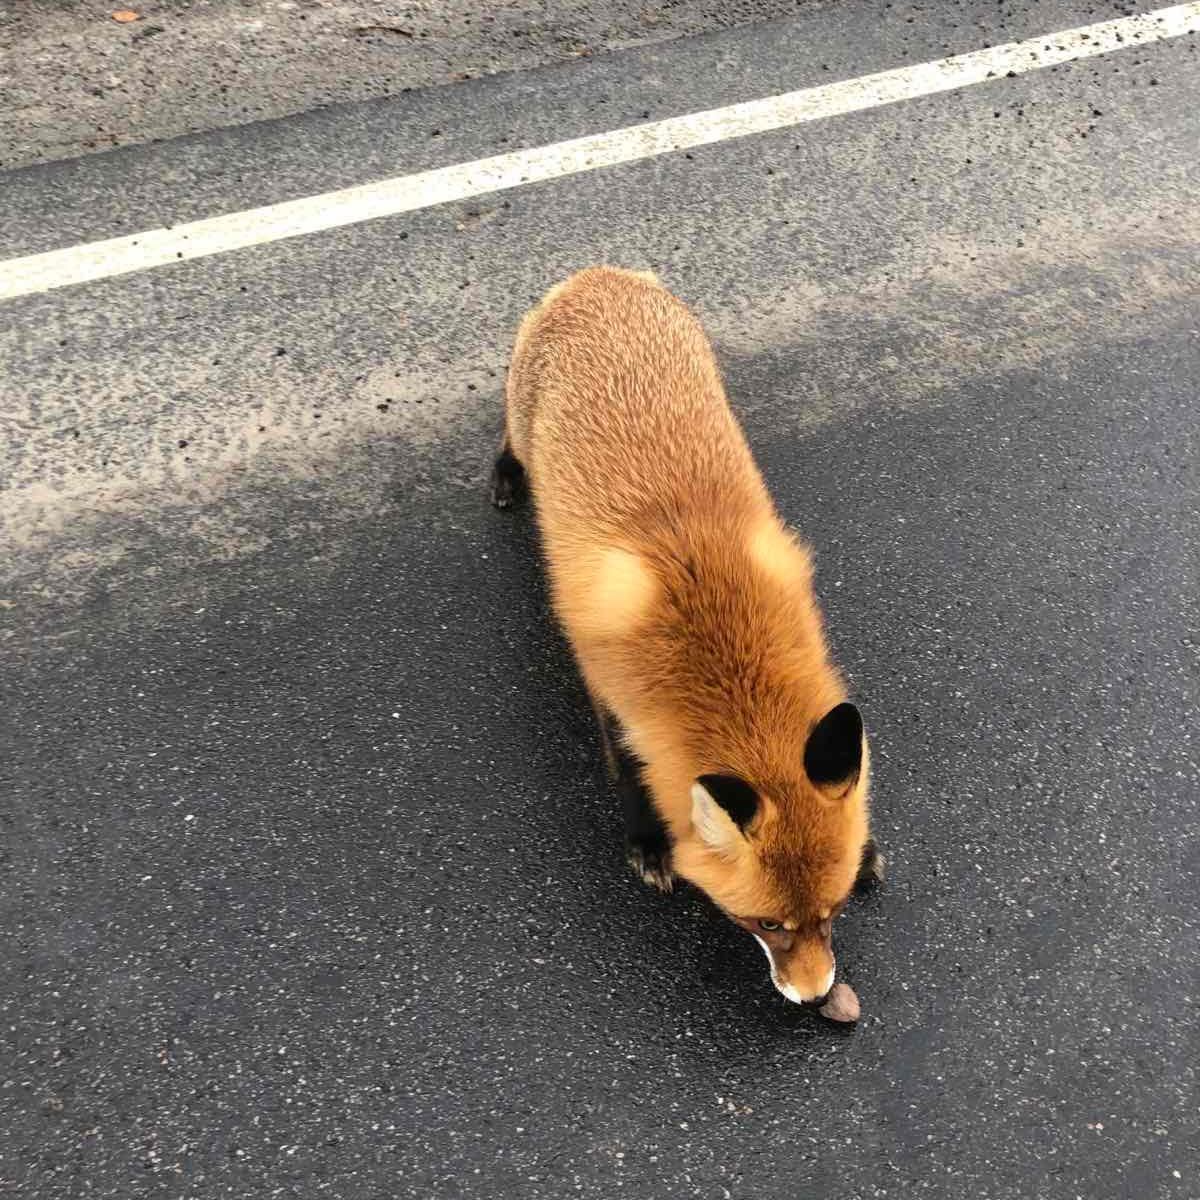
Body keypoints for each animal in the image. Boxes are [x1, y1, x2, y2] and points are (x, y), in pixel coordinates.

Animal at [489, 267, 883, 1008]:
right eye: (763, 923)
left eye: (834, 911)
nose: (817, 997)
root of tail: (602, 274)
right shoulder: (611, 690)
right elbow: (629, 772)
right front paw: (649, 845)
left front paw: (867, 847)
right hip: (523, 422)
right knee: (506, 435)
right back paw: (503, 476)